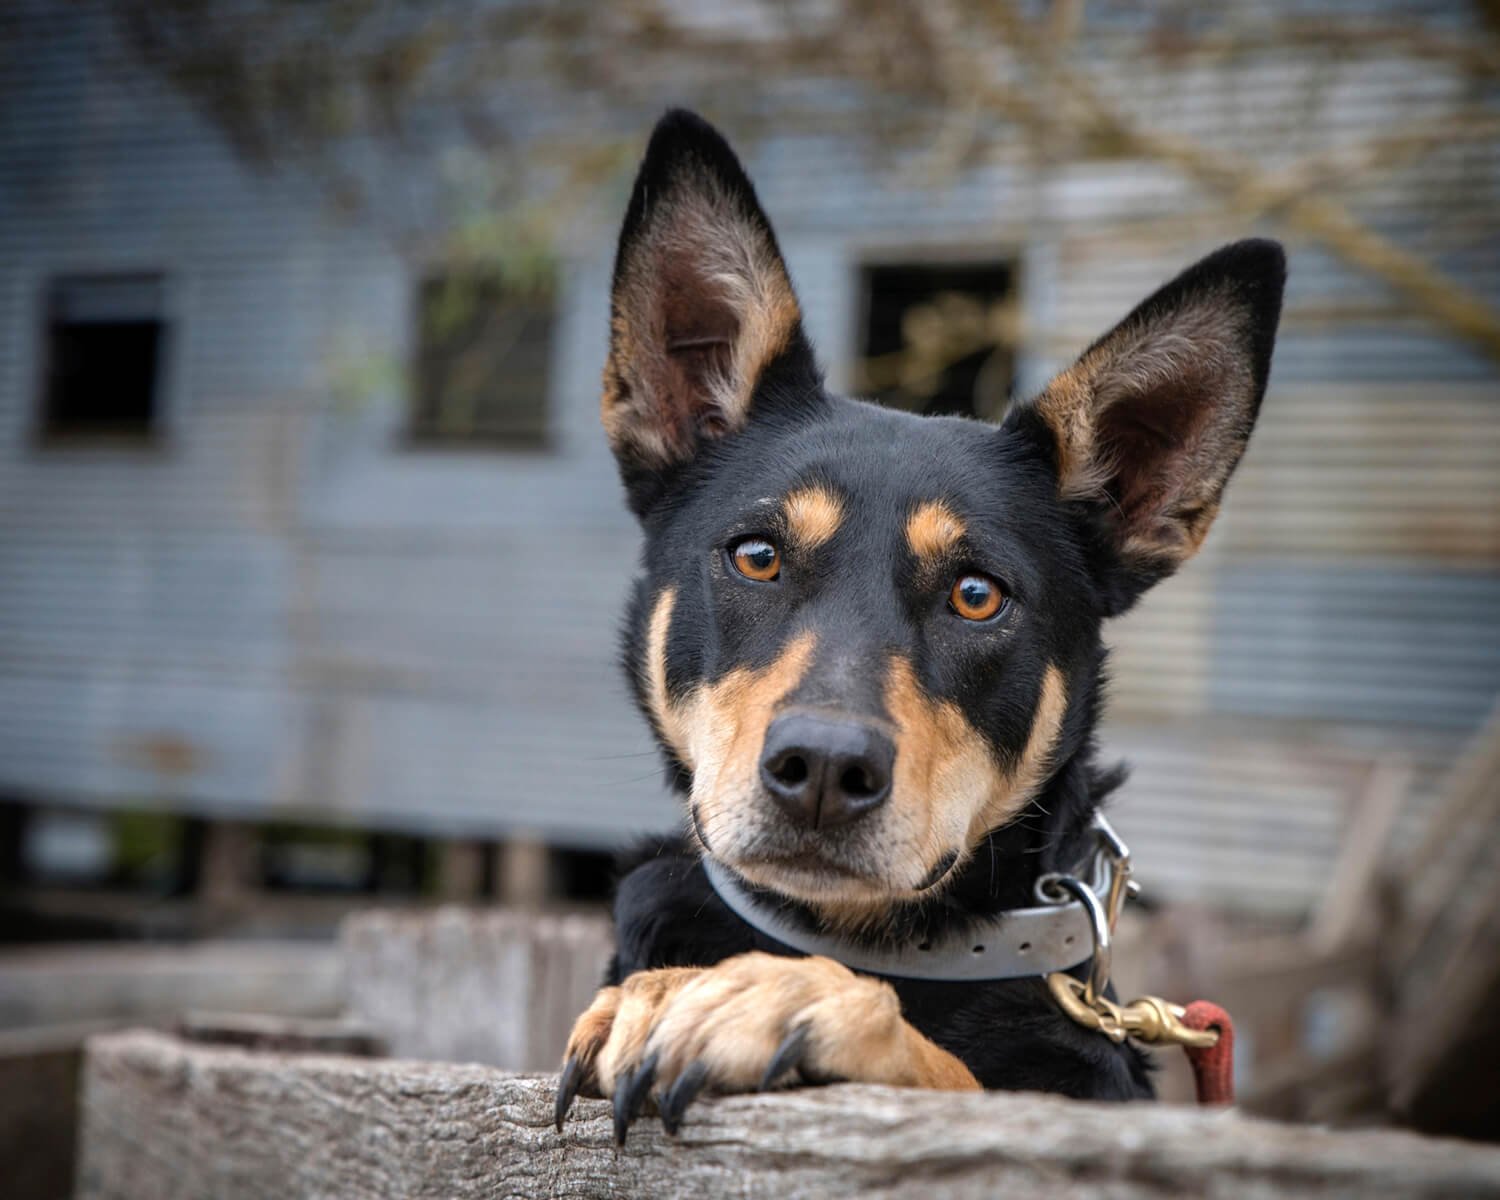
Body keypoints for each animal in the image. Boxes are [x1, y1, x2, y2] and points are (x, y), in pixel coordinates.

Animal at [558, 110, 1284, 1134]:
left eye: (977, 595)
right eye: (757, 555)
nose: (823, 770)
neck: (864, 940)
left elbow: (943, 1062)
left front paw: (777, 998)